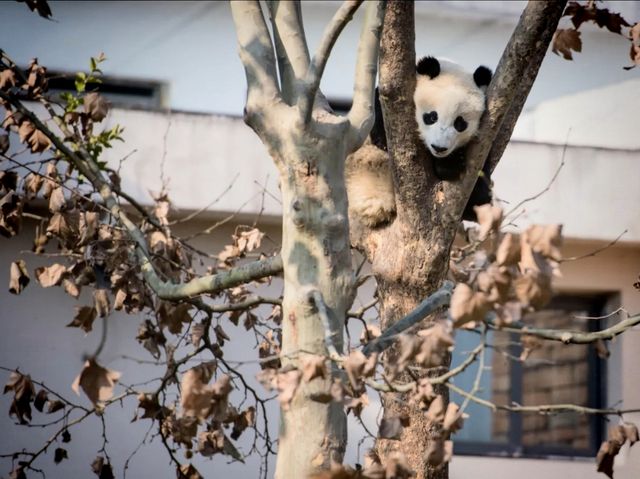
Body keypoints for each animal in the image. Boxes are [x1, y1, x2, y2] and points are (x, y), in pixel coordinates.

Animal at [348, 55, 492, 228]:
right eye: (431, 116)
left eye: (460, 123)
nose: (439, 147)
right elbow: (381, 134)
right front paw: (450, 164)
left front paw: (451, 162)